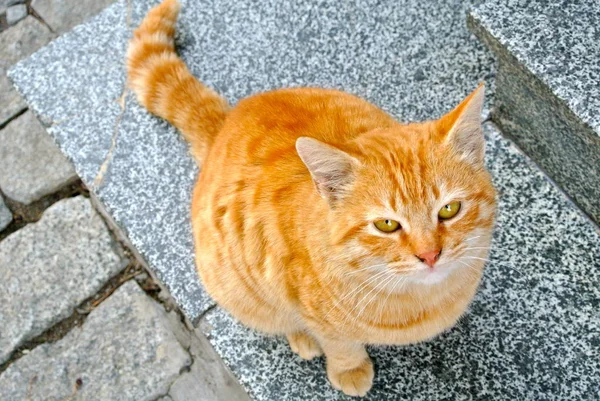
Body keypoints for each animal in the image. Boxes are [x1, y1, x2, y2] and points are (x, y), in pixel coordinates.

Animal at [126, 0, 496, 394]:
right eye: (386, 224)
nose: (430, 255)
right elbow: (337, 340)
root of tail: (227, 120)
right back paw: (301, 338)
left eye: (450, 209)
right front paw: (349, 368)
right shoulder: (304, 301)